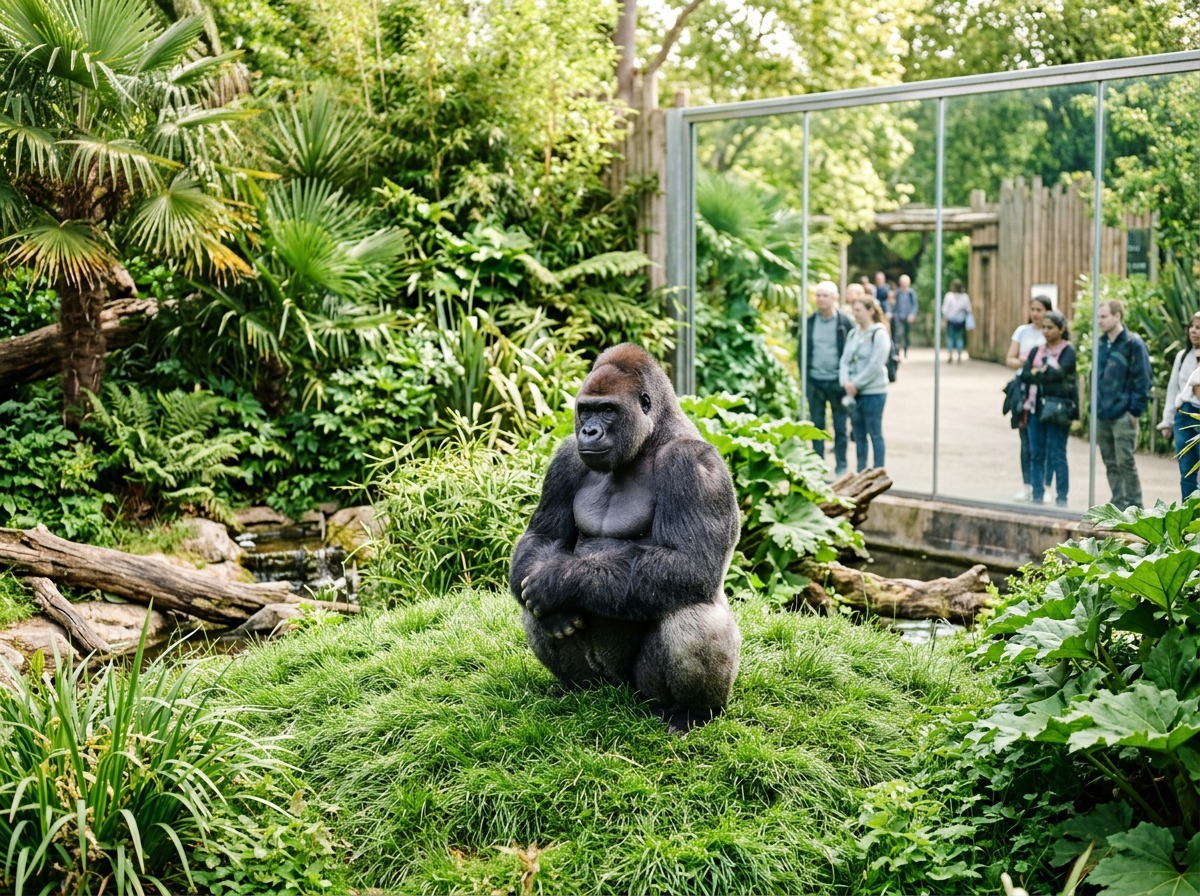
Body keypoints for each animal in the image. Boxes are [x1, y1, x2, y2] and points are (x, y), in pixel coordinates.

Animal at [510, 343, 741, 733]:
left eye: (608, 410)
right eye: (586, 410)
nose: (589, 431)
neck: (652, 436)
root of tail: (618, 695)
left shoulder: (695, 465)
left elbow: (690, 563)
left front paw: (558, 581)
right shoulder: (565, 458)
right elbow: (541, 539)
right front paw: (556, 601)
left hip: (644, 691)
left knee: (691, 610)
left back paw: (692, 712)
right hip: (601, 682)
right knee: (530, 600)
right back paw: (575, 689)